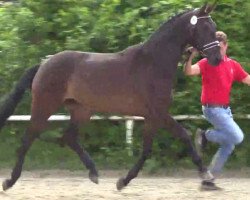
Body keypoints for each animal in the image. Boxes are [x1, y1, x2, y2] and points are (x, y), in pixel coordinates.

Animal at [0, 2, 221, 191]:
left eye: (214, 27)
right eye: (205, 28)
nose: (217, 59)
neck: (153, 63)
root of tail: (44, 63)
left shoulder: (152, 117)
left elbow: (147, 150)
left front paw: (123, 181)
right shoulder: (158, 113)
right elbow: (183, 135)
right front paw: (206, 174)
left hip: (81, 110)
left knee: (69, 137)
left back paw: (94, 173)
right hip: (45, 105)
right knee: (28, 137)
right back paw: (10, 181)